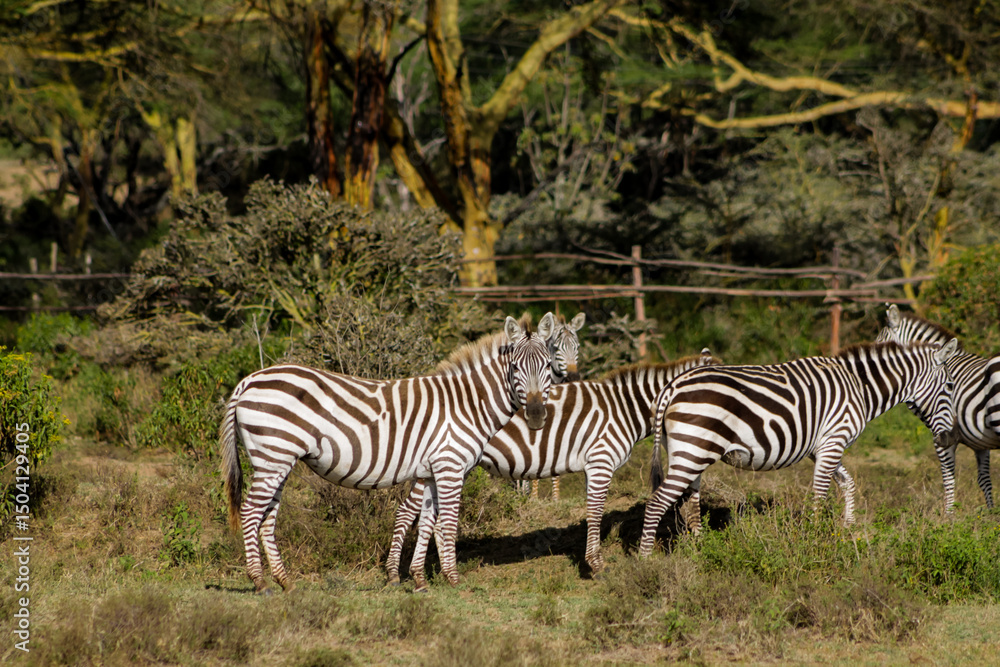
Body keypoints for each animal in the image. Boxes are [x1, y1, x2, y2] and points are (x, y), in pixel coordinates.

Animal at [220, 313, 556, 593]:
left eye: (548, 368)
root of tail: (249, 380)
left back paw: (285, 582)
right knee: (250, 513)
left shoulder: (431, 471)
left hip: (276, 461)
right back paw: (260, 582)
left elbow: (427, 522)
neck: (468, 404)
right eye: (515, 368)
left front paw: (419, 580)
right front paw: (453, 579)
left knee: (267, 517)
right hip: (273, 457)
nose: (537, 415)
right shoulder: (450, 466)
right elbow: (447, 523)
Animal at [386, 349, 720, 580]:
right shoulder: (601, 460)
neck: (624, 408)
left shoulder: (591, 466)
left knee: (430, 518)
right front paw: (597, 566)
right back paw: (398, 575)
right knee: (408, 512)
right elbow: (595, 512)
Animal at [639, 340, 958, 556]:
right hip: (693, 452)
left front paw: (848, 529)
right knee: (657, 503)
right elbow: (820, 495)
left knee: (690, 505)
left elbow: (848, 484)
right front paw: (816, 541)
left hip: (689, 451)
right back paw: (646, 562)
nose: (949, 438)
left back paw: (702, 552)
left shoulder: (822, 446)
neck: (859, 387)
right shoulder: (834, 440)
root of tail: (672, 386)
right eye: (950, 387)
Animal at [877, 304, 1000, 512]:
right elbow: (984, 480)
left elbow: (948, 478)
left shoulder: (942, 434)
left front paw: (949, 516)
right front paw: (991, 513)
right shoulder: (980, 443)